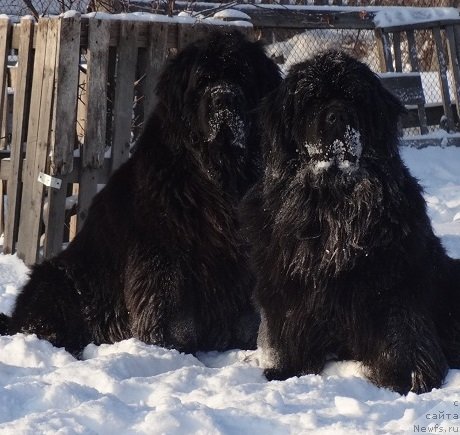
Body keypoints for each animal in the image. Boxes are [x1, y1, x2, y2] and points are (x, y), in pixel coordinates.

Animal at [5, 30, 282, 358]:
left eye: (242, 76)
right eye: (202, 80)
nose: (223, 97)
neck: (217, 175)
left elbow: (248, 309)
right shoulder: (164, 254)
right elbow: (169, 310)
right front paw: (170, 348)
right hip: (61, 279)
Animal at [244, 51, 460, 396]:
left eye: (354, 97)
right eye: (311, 99)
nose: (337, 114)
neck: (335, 203)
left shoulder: (393, 281)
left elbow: (401, 329)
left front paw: (409, 374)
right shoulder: (287, 285)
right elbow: (288, 326)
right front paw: (285, 369)